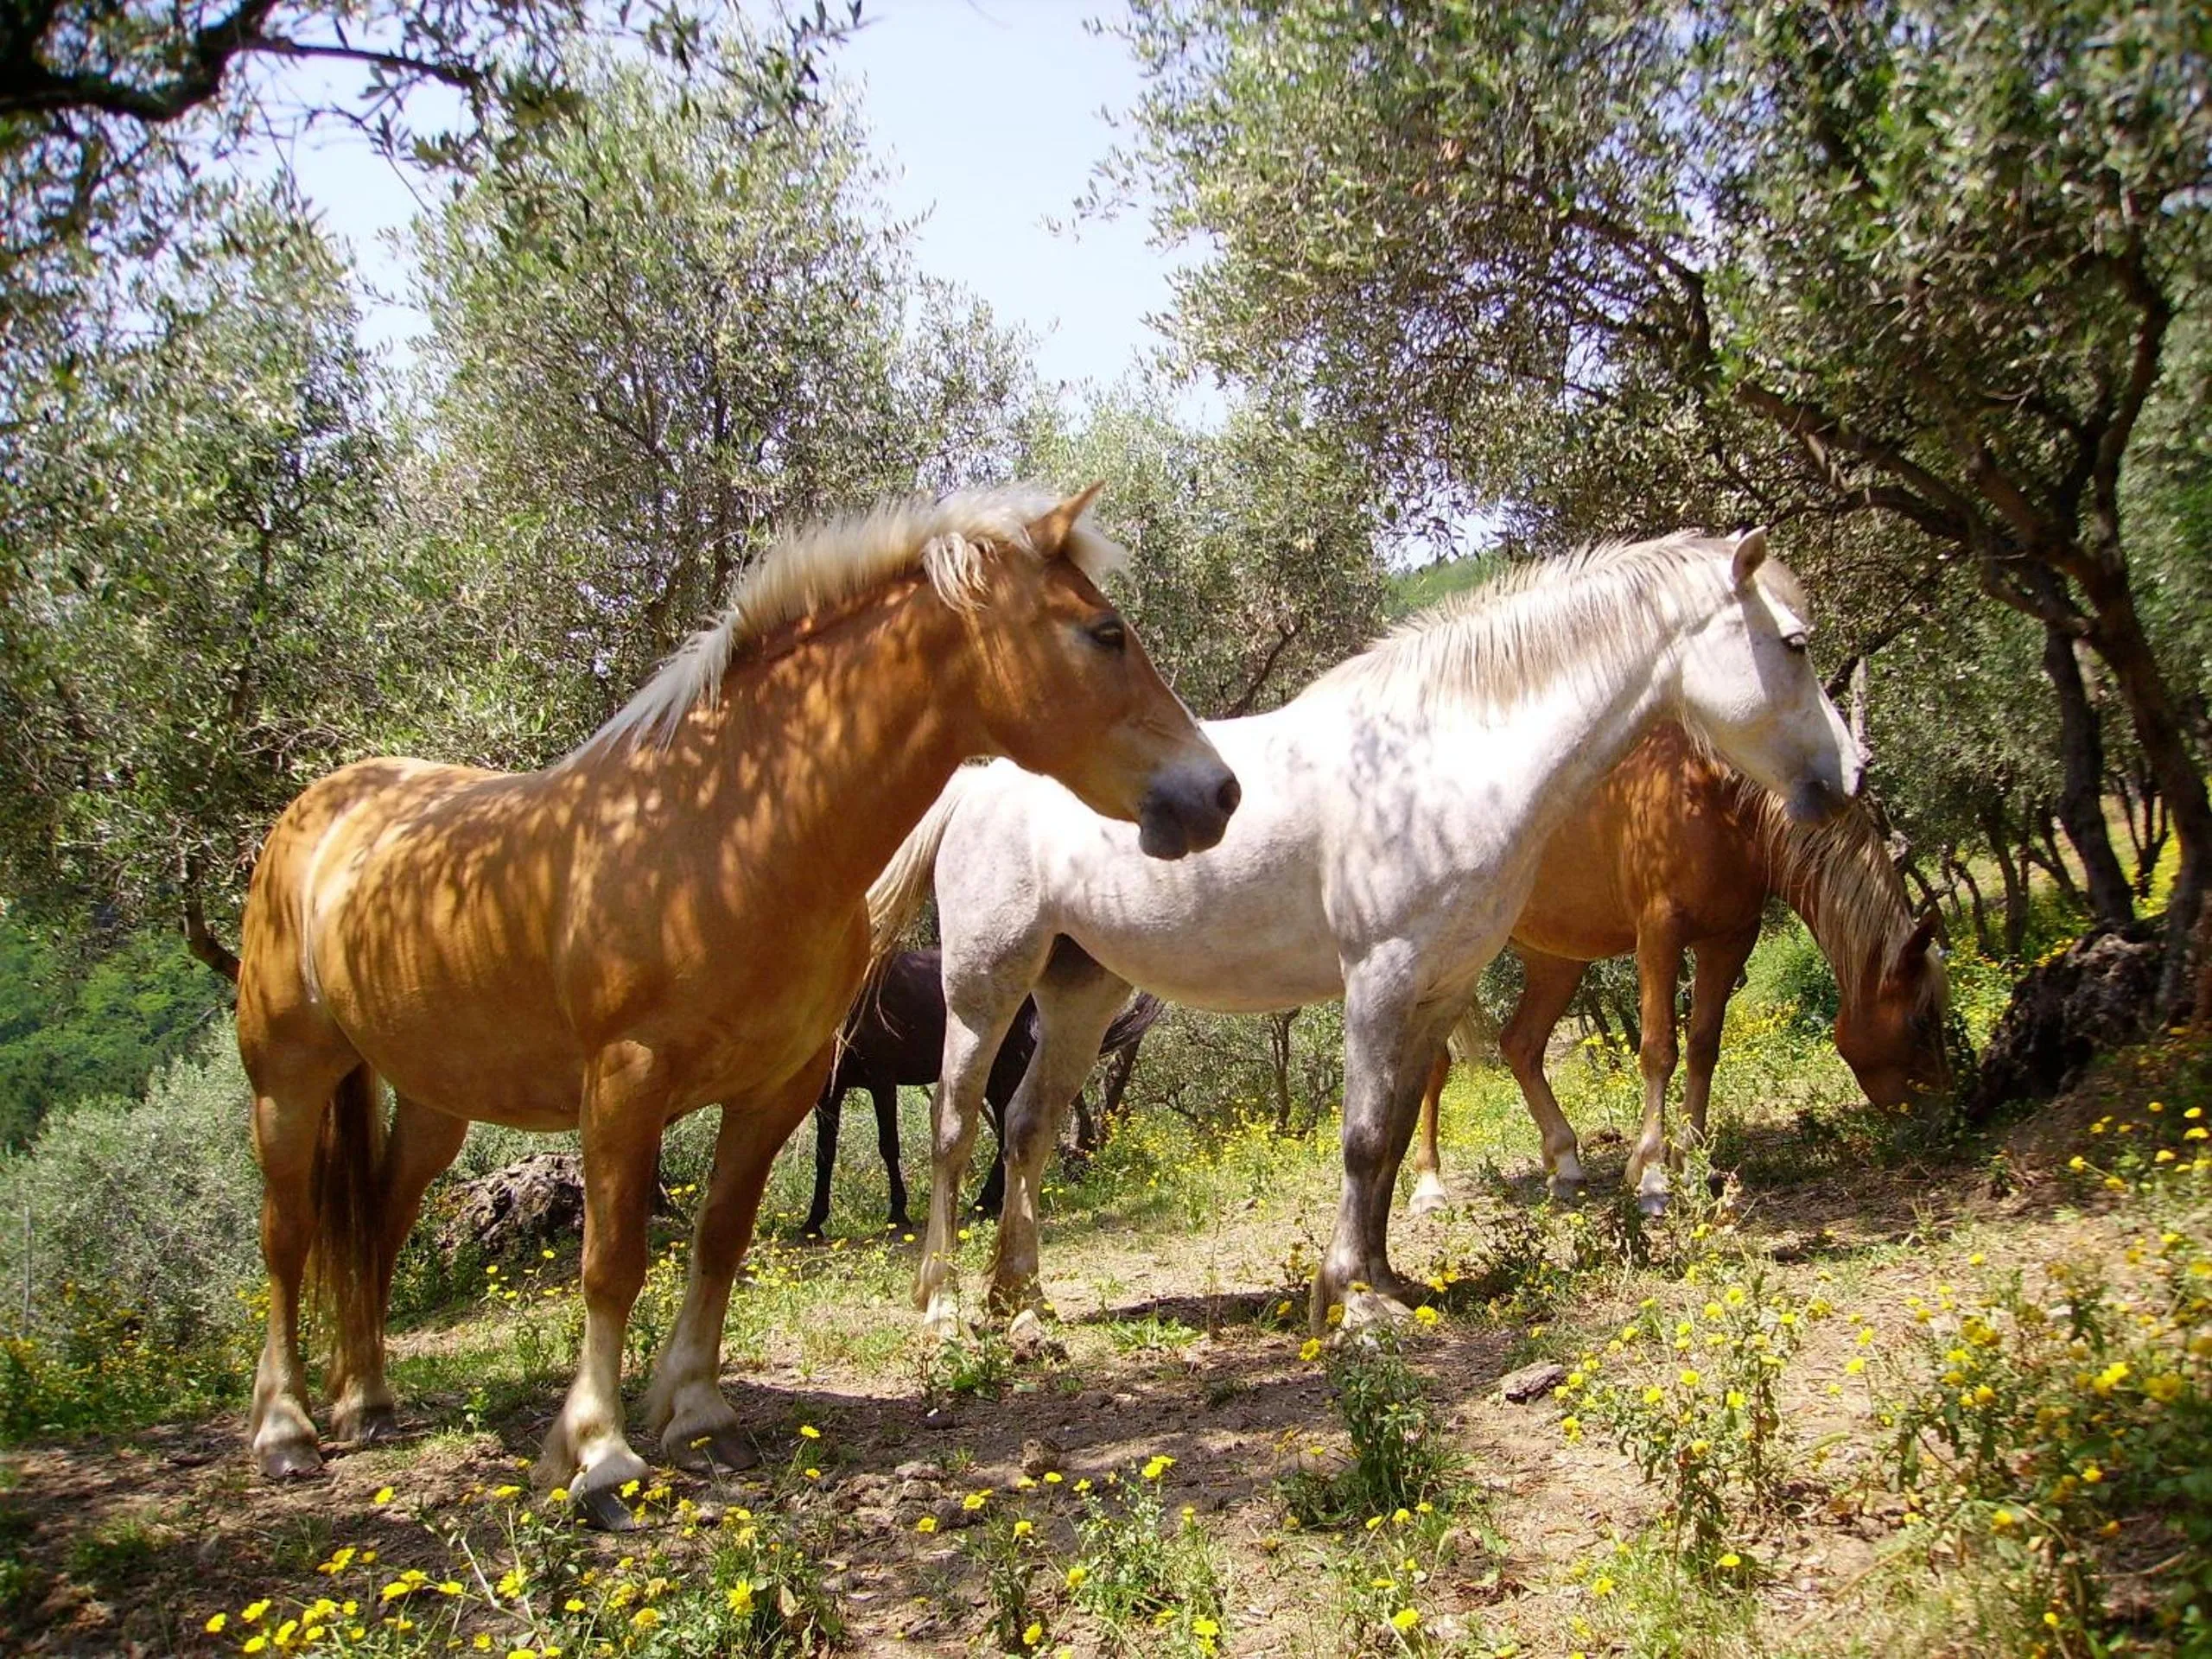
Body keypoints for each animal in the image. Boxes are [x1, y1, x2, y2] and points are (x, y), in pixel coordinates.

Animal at [802, 947, 1162, 1236]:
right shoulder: (829, 1095)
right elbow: (825, 1154)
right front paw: (813, 1222)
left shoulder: (882, 1079)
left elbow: (888, 1145)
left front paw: (897, 1214)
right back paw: (988, 1202)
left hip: (1005, 1065)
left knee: (1009, 1126)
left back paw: (987, 1202)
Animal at [868, 530, 1863, 1336]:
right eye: (1795, 643)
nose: (1849, 773)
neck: (1444, 766)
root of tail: (978, 779)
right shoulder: (1379, 981)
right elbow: (1359, 1137)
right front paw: (1346, 1300)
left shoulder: (1439, 989)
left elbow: (1389, 1138)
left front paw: (1385, 1281)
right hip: (987, 985)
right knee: (954, 1127)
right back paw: (944, 1305)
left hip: (1082, 989)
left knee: (1029, 1125)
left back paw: (1023, 1299)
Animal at [1402, 722, 1950, 1217]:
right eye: (1918, 1022)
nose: (1946, 1115)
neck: (1716, 796)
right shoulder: (1659, 935)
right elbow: (1658, 1049)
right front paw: (1651, 1175)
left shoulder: (1730, 938)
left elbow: (1704, 1045)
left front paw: (1690, 1163)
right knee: (1436, 1062)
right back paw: (1430, 1188)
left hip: (1554, 960)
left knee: (1521, 1044)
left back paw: (1566, 1166)